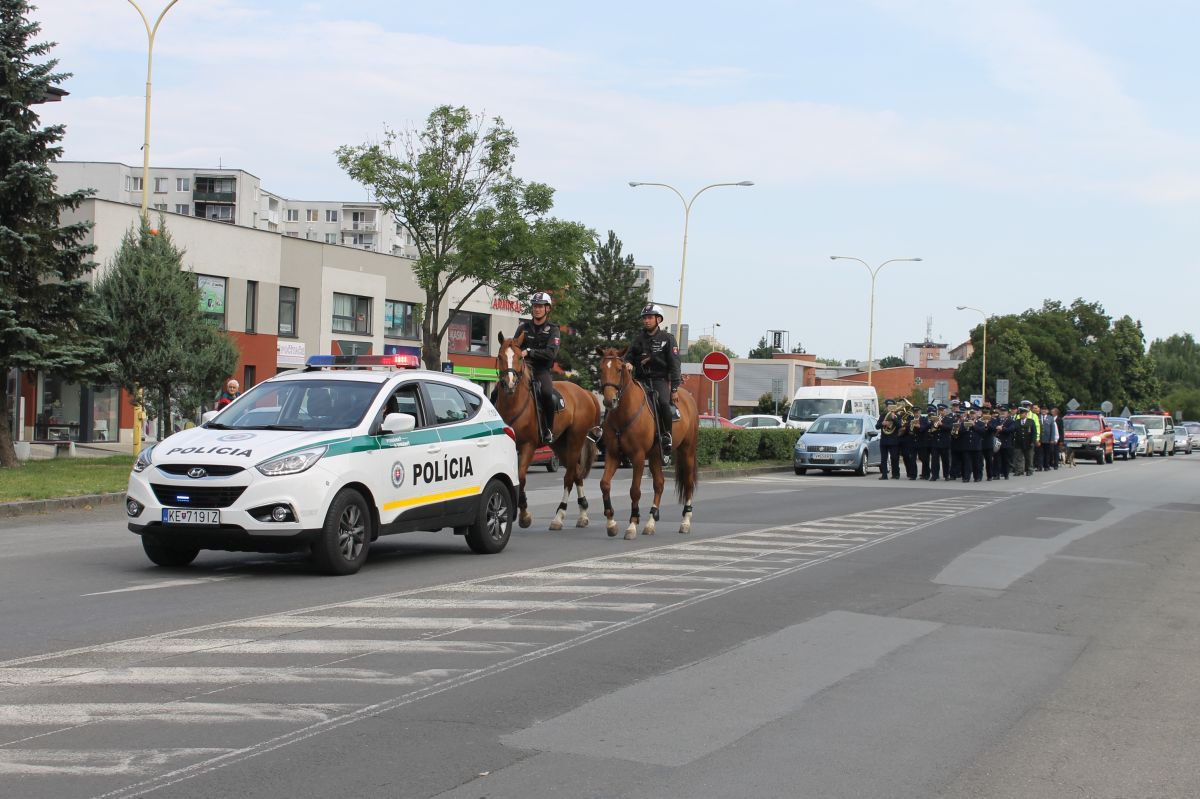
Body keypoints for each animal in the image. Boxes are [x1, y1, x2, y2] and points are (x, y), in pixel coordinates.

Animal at [494, 332, 602, 530]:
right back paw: (582, 513)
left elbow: (521, 476)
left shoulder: (528, 446)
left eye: (520, 357)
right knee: (576, 472)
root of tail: (585, 393)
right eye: (500, 356)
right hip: (560, 444)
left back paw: (559, 516)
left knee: (569, 476)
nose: (509, 383)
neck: (514, 405)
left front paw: (524, 514)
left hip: (575, 441)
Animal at [594, 346, 699, 540]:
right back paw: (651, 521)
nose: (609, 401)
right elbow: (604, 484)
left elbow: (634, 490)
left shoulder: (637, 456)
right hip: (656, 455)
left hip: (687, 451)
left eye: (619, 369)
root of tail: (687, 396)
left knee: (688, 483)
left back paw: (685, 521)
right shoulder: (613, 454)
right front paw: (611, 523)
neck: (624, 412)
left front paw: (632, 524)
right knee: (659, 484)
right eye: (601, 369)